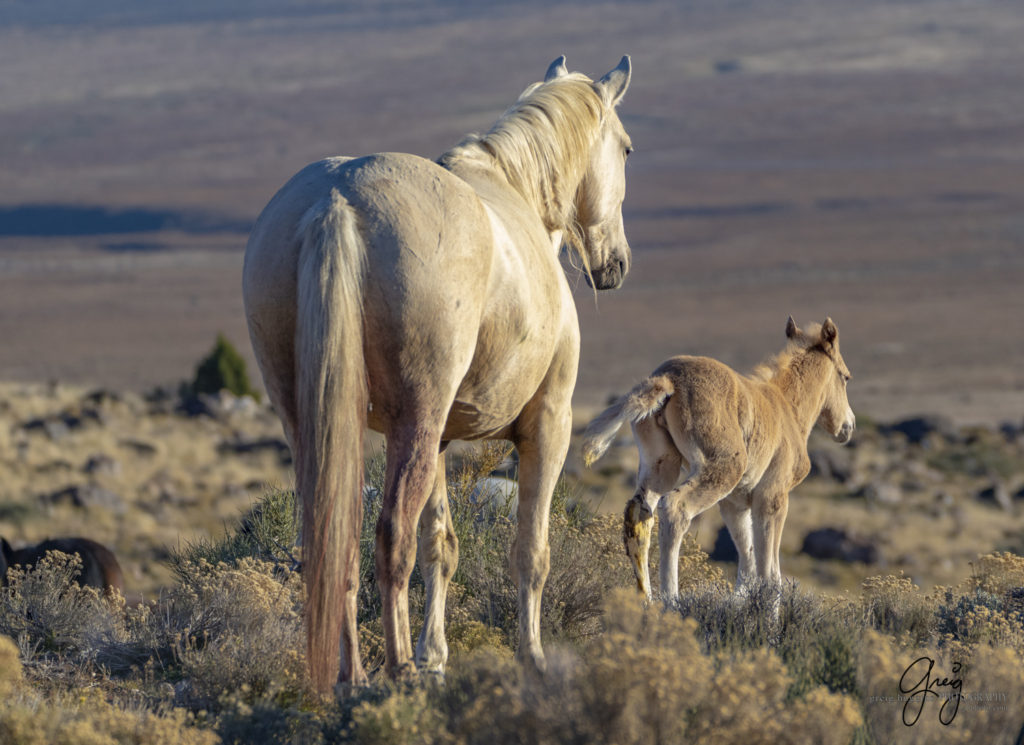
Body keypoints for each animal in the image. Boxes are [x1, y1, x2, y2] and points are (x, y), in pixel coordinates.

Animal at [244, 53, 634, 691]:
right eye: (625, 148)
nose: (615, 265)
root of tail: (337, 200)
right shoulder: (547, 425)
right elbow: (530, 552)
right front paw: (530, 658)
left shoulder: (443, 441)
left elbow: (441, 547)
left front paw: (437, 656)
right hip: (416, 424)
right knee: (388, 539)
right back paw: (393, 667)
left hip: (321, 424)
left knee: (333, 538)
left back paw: (353, 673)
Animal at [585, 317, 856, 601]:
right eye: (846, 377)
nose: (848, 426)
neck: (788, 408)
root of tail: (668, 379)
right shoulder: (772, 496)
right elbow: (770, 575)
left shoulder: (734, 503)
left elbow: (747, 568)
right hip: (722, 468)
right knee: (674, 508)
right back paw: (670, 602)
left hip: (661, 465)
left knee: (639, 512)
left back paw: (645, 601)